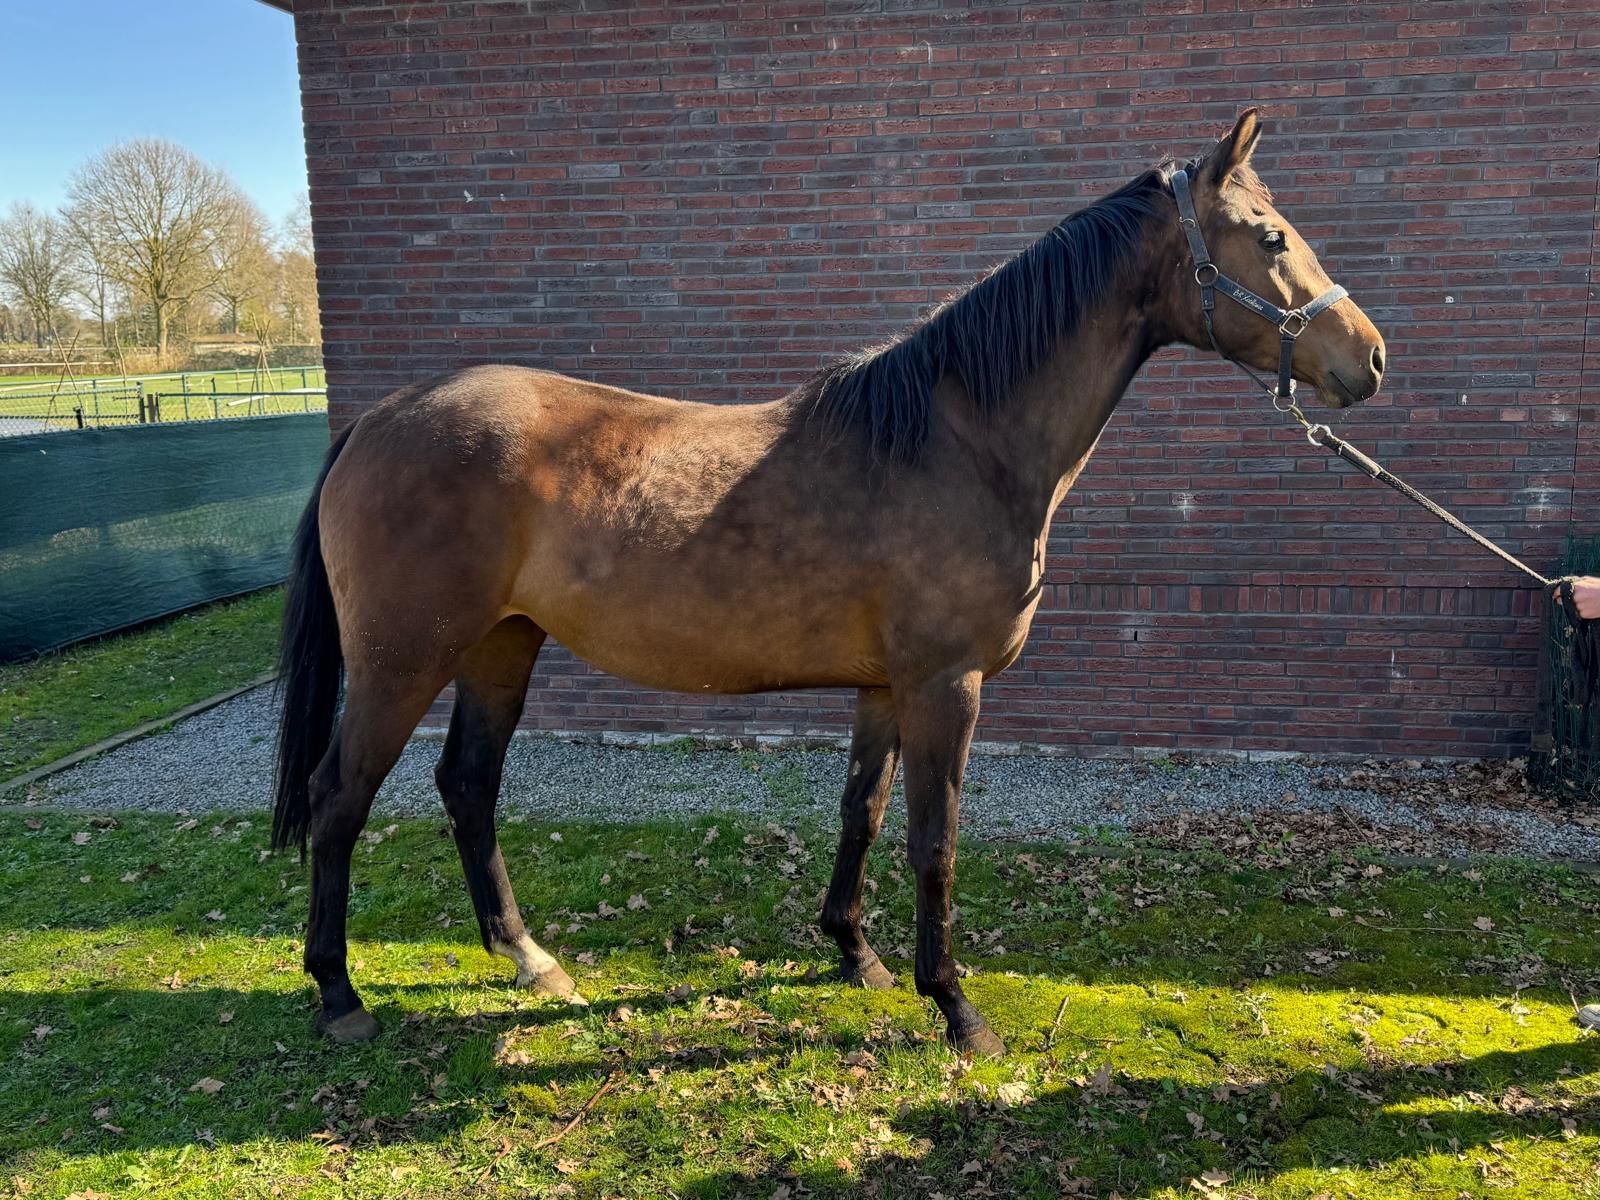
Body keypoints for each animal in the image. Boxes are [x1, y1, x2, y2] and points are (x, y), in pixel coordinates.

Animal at [273, 110, 1385, 1055]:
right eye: (1270, 237)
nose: (1368, 358)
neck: (960, 440)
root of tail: (377, 418)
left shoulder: (884, 687)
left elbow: (863, 812)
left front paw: (856, 953)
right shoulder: (945, 685)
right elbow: (935, 840)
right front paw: (958, 1008)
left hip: (501, 645)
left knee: (468, 786)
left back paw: (529, 959)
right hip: (402, 660)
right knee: (340, 798)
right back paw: (338, 993)